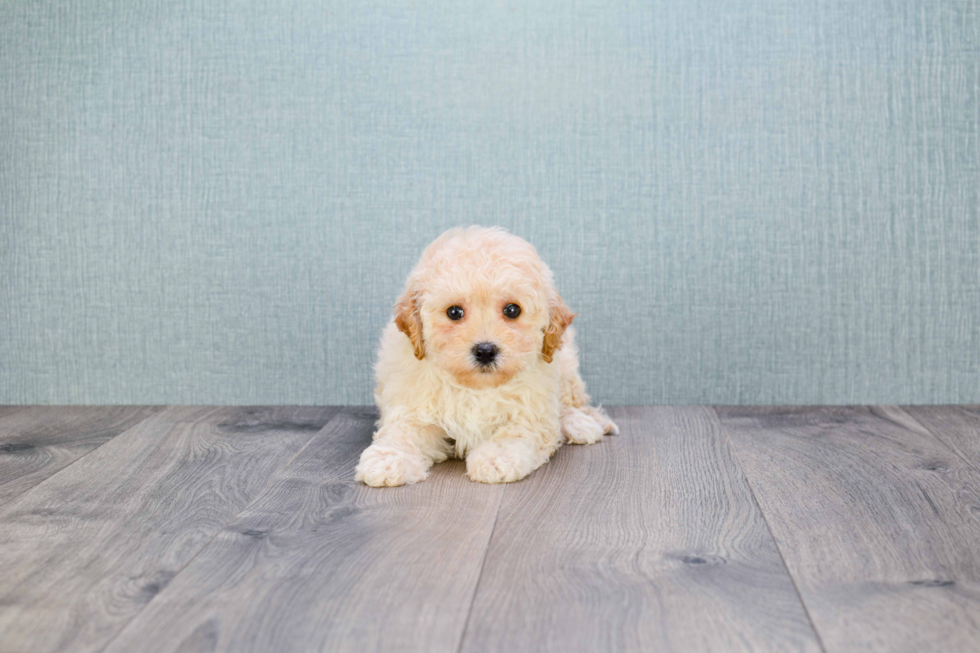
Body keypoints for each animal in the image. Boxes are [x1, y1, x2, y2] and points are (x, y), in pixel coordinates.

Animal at [356, 224, 616, 484]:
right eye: (454, 312)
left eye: (512, 310)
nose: (485, 351)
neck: (477, 388)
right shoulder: (414, 406)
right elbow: (403, 431)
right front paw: (388, 459)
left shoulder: (531, 412)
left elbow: (516, 433)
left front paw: (496, 459)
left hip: (567, 368)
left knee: (574, 404)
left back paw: (581, 424)